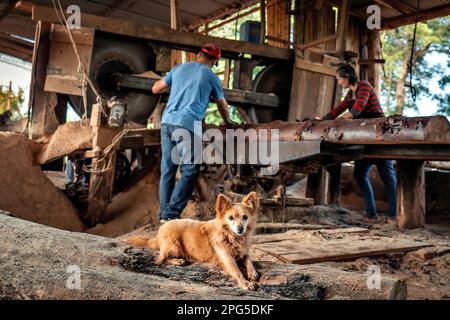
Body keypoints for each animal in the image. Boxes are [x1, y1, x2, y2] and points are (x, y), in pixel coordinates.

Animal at [126, 191, 260, 292]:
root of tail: (160, 232)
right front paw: (246, 283)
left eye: (245, 217)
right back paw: (178, 261)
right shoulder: (227, 258)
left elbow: (248, 259)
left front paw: (252, 272)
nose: (240, 229)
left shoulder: (243, 251)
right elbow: (237, 272)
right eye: (231, 218)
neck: (231, 236)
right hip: (174, 245)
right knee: (160, 259)